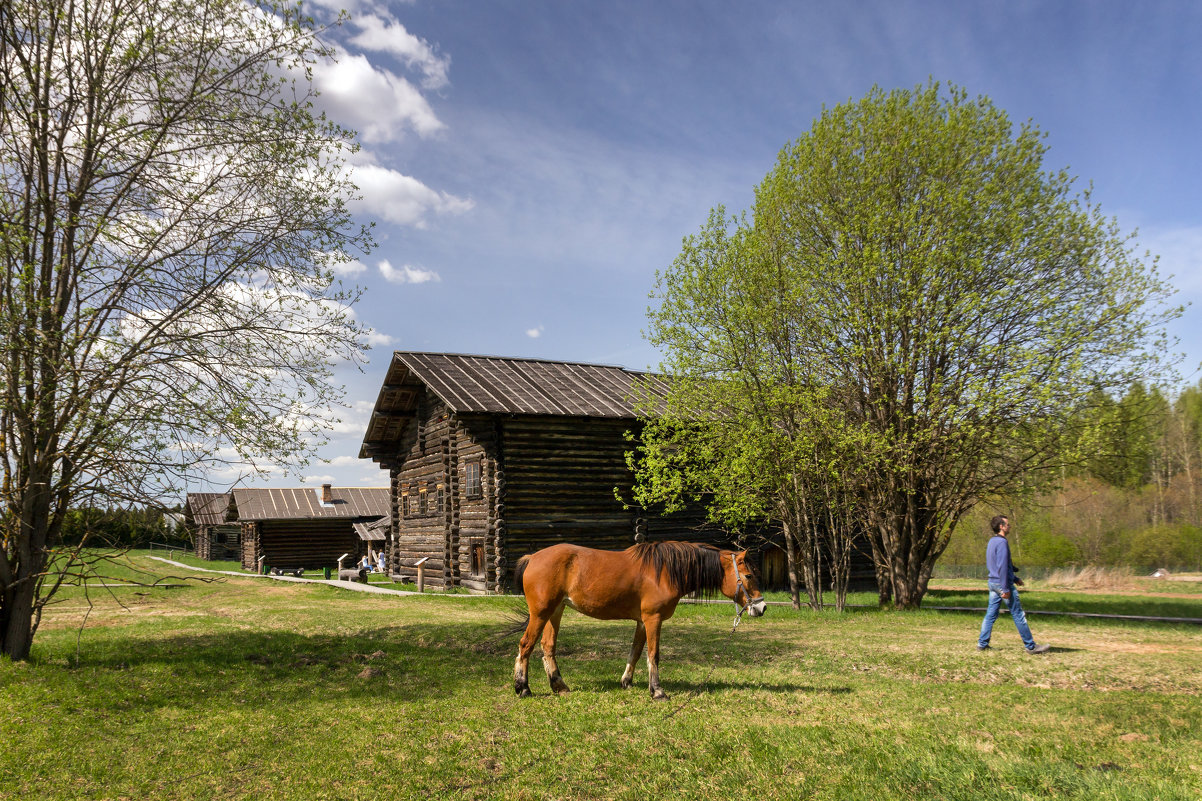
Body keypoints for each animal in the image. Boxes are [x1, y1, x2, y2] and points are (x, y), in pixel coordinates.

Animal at [512, 536, 764, 697]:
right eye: (748, 575)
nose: (761, 608)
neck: (664, 571)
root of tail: (533, 557)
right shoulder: (653, 619)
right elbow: (654, 654)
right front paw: (658, 691)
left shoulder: (642, 622)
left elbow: (635, 652)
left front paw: (627, 682)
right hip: (540, 613)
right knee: (525, 645)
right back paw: (523, 688)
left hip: (555, 611)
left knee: (547, 647)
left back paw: (560, 686)